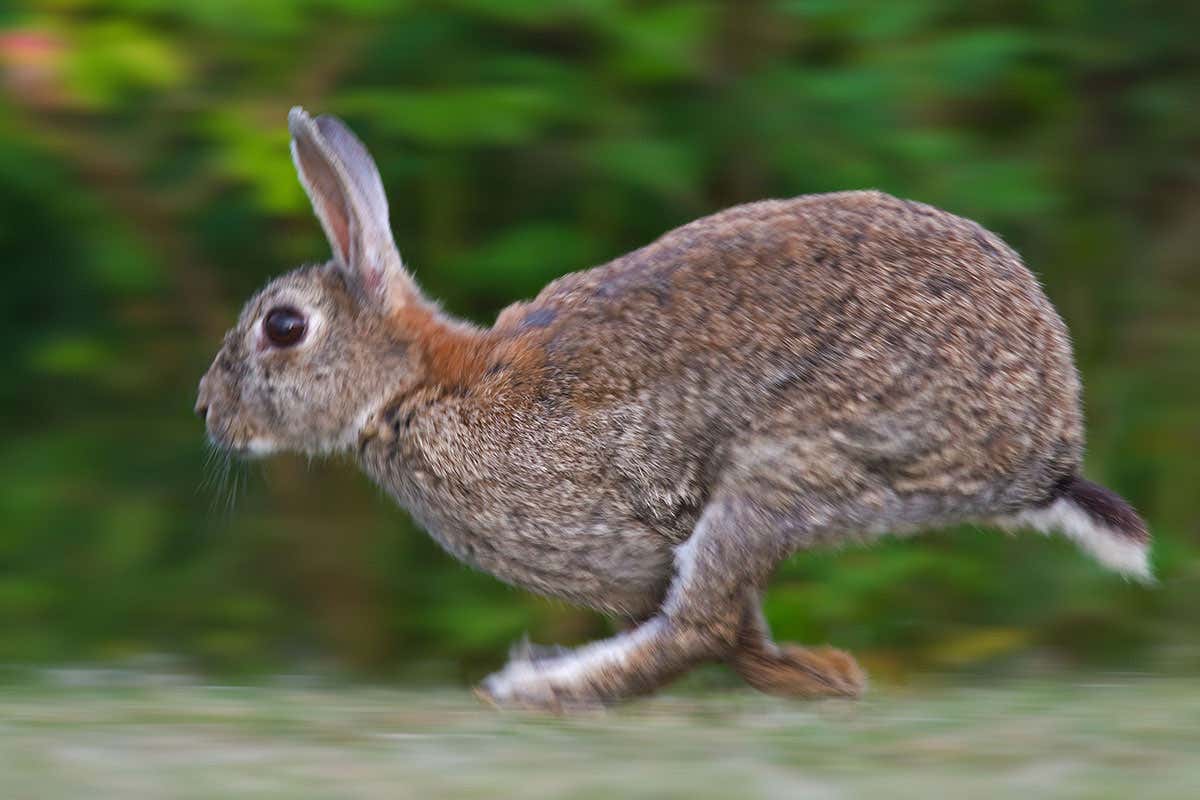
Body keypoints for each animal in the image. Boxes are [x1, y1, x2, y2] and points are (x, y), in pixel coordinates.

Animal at [196, 107, 1151, 711]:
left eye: (284, 327)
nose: (208, 411)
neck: (417, 387)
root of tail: (1047, 450)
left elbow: (713, 631)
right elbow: (745, 641)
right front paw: (820, 675)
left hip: (788, 469)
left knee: (696, 625)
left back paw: (535, 688)